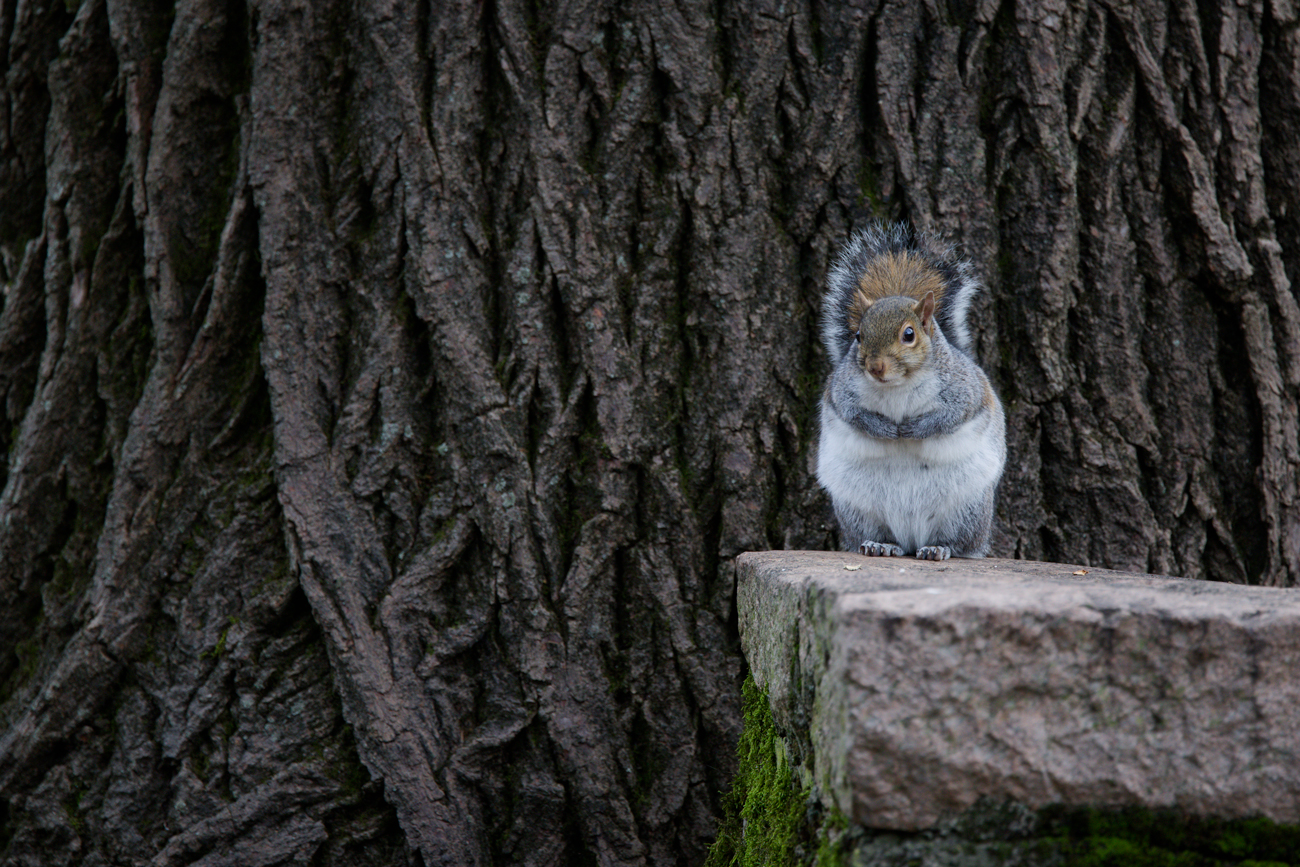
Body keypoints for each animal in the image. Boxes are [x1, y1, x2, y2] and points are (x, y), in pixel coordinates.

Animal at [816, 223, 1006, 560]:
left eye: (909, 334)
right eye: (858, 336)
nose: (875, 367)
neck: (896, 385)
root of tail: (911, 540)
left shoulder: (964, 390)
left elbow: (951, 416)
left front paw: (914, 429)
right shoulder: (841, 392)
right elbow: (853, 415)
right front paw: (884, 429)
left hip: (964, 511)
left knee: (959, 542)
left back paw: (938, 548)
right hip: (859, 511)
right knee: (877, 534)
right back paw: (879, 544)